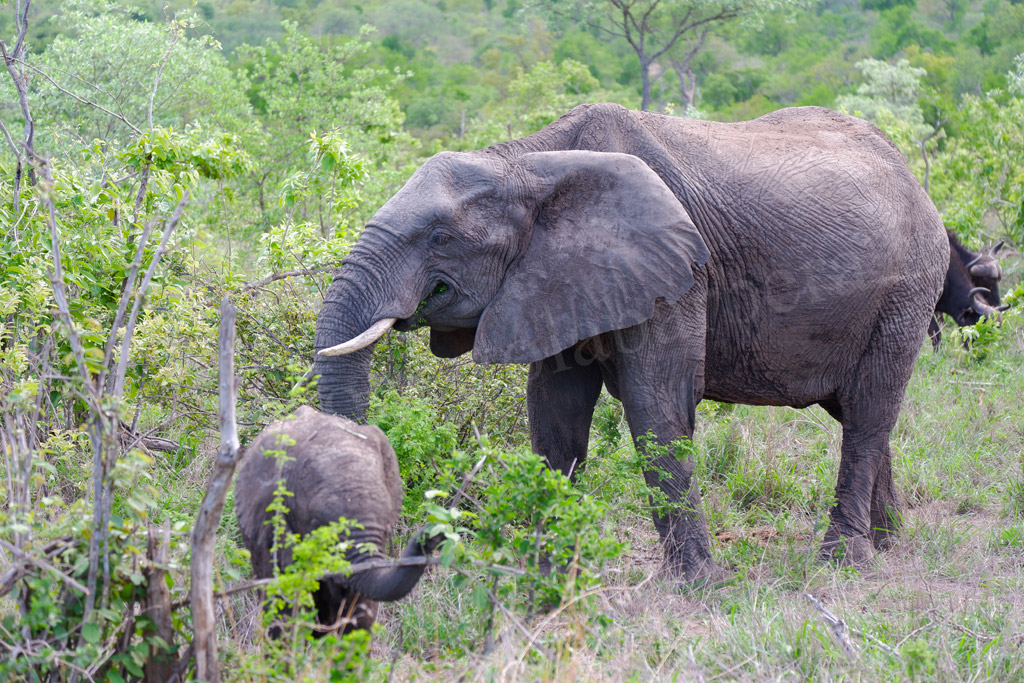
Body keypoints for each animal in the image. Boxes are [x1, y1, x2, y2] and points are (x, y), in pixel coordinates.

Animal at [309, 102, 942, 581]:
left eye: (440, 237)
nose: (423, 539)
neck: (528, 161)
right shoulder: (557, 281)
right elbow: (554, 414)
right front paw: (549, 577)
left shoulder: (678, 271)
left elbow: (656, 407)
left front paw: (697, 586)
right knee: (856, 411)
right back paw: (890, 545)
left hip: (906, 291)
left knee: (869, 410)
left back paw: (844, 564)